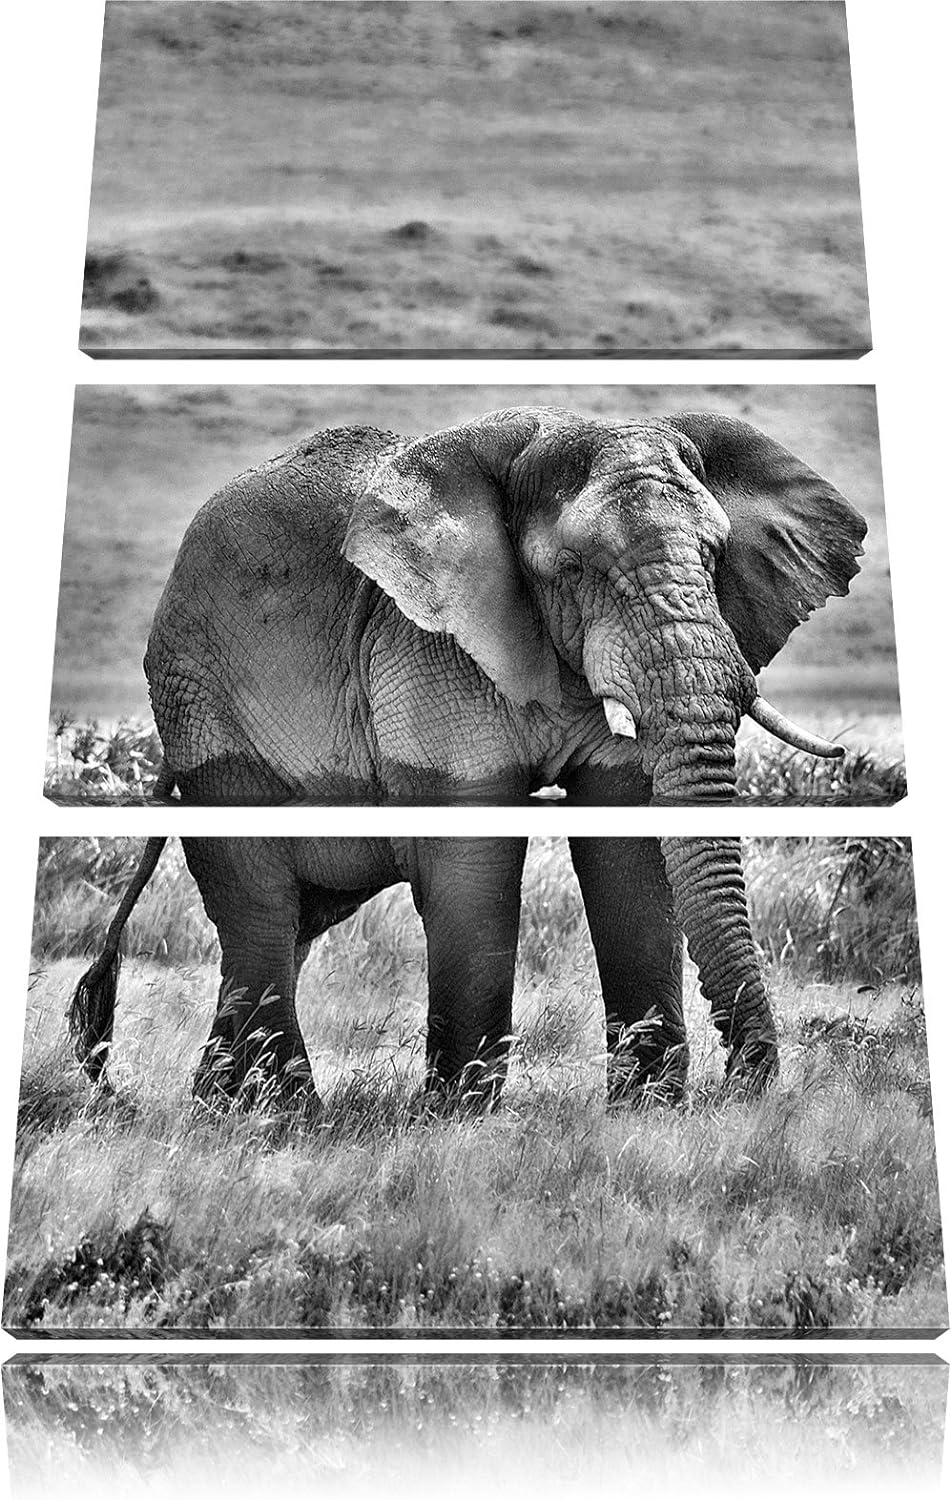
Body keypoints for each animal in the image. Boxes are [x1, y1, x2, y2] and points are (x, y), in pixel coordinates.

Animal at [70, 835, 779, 1111]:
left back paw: (223, 1107)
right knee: (263, 924)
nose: (737, 1084)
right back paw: (289, 1117)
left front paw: (646, 1113)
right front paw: (461, 1118)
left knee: (283, 940)